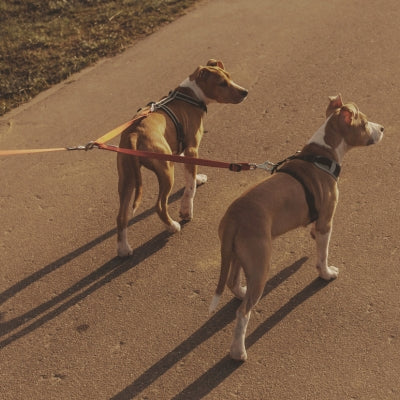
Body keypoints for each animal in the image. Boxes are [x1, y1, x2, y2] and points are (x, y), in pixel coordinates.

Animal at [115, 60, 247, 260]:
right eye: (222, 83)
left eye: (230, 77)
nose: (245, 92)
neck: (191, 95)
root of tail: (134, 134)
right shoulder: (192, 148)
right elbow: (190, 186)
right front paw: (186, 209)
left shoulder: (180, 150)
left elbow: (190, 173)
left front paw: (198, 178)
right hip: (166, 170)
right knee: (160, 205)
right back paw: (172, 227)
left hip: (127, 177)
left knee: (121, 216)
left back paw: (124, 249)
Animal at [208, 95, 382, 360]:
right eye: (363, 123)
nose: (382, 128)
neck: (322, 154)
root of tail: (233, 218)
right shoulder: (326, 221)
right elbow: (323, 254)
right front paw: (326, 273)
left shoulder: (318, 223)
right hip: (260, 262)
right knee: (243, 312)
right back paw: (238, 351)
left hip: (237, 254)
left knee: (233, 282)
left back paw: (242, 293)